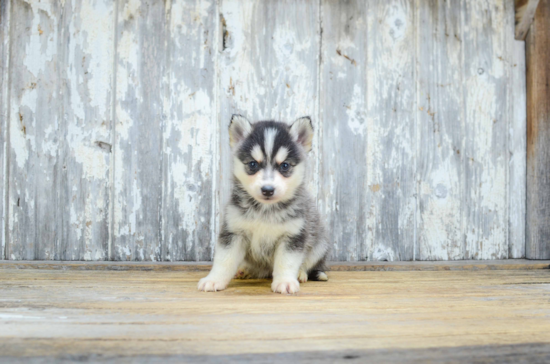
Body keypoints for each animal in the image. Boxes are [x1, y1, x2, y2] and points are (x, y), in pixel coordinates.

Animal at [198, 115, 330, 294]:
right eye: (253, 164)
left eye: (285, 165)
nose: (267, 190)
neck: (265, 210)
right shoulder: (234, 232)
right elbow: (224, 260)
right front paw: (214, 280)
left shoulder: (293, 236)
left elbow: (287, 262)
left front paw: (285, 281)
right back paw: (246, 270)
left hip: (319, 244)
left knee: (308, 263)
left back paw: (300, 273)